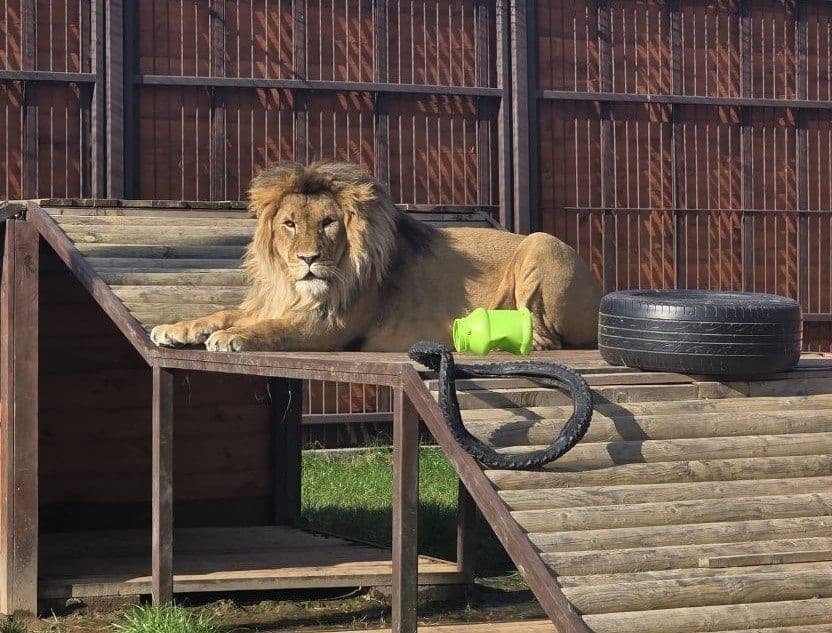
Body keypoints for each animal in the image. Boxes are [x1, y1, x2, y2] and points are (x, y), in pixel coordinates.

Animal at [150, 161, 602, 353]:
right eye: (290, 224)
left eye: (329, 222)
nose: (308, 259)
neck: (294, 287)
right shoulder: (274, 300)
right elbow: (223, 313)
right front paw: (176, 328)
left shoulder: (329, 327)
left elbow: (273, 328)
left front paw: (234, 337)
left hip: (542, 243)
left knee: (547, 338)